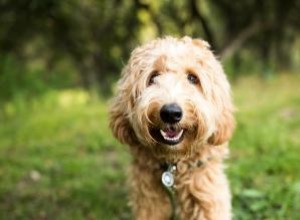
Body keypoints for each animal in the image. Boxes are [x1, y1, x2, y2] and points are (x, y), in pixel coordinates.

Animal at [109, 36, 236, 220]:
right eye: (153, 77)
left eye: (193, 78)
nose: (170, 113)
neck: (174, 167)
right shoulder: (149, 201)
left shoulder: (206, 192)